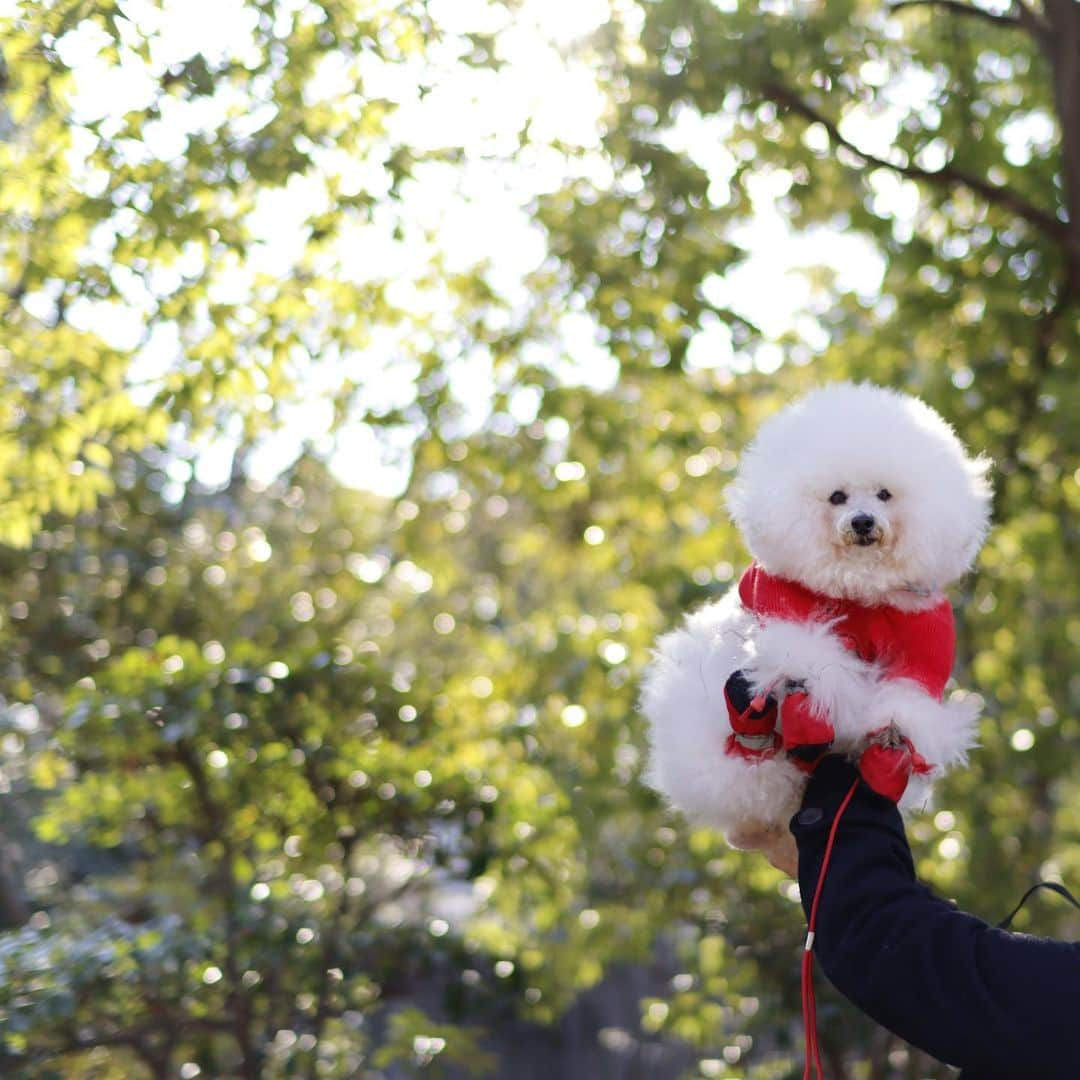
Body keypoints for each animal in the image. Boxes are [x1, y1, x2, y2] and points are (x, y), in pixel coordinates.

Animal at [639, 384, 993, 838]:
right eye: (837, 497)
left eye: (884, 494)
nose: (862, 522)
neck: (858, 588)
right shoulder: (781, 601)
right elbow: (807, 662)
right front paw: (814, 711)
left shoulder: (923, 635)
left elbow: (908, 694)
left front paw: (889, 745)